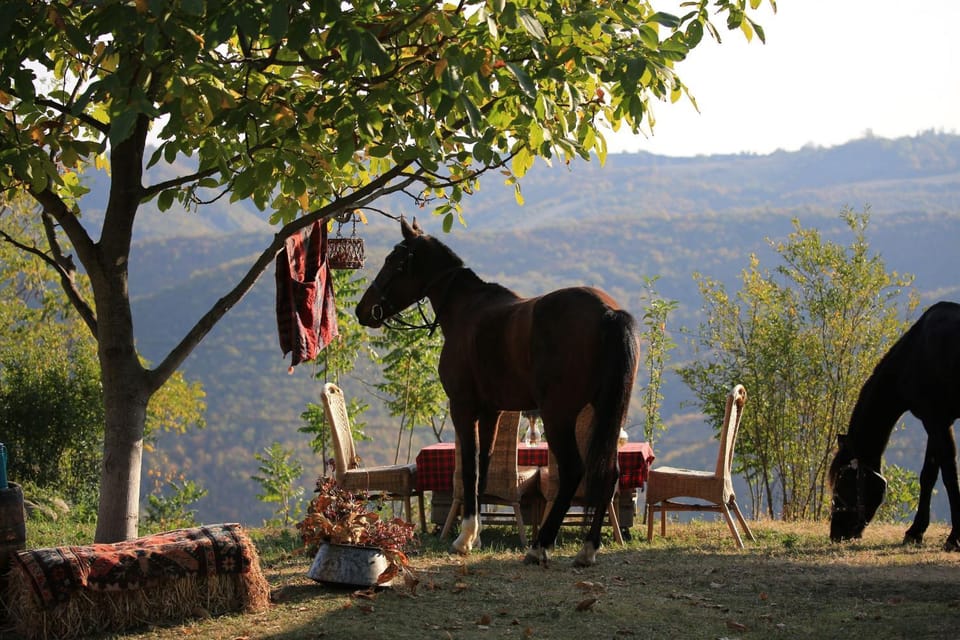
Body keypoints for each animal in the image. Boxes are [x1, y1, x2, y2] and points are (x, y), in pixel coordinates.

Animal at [356, 218, 639, 566]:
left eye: (394, 262)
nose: (363, 309)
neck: (467, 310)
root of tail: (607, 313)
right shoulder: (492, 412)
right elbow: (484, 466)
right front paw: (474, 535)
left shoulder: (462, 408)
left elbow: (469, 466)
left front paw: (464, 537)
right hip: (607, 413)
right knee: (609, 474)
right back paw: (588, 548)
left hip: (558, 415)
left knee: (573, 471)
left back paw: (540, 545)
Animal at [828, 300, 960, 549]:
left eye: (843, 482)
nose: (836, 533)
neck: (916, 353)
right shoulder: (936, 422)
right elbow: (928, 475)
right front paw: (915, 532)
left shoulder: (936, 421)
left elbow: (949, 476)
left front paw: (954, 538)